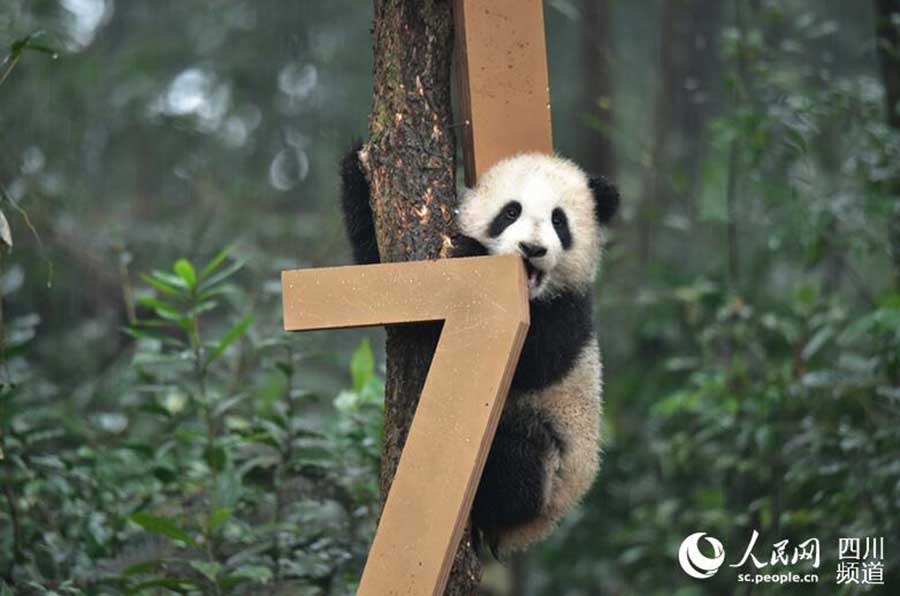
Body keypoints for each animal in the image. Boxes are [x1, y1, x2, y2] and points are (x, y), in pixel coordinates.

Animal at [340, 146, 619, 555]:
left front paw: (467, 252)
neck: (530, 293)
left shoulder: (571, 311)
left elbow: (534, 362)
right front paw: (356, 167)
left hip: (554, 465)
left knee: (518, 454)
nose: (532, 249)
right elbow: (380, 271)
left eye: (559, 221)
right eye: (510, 212)